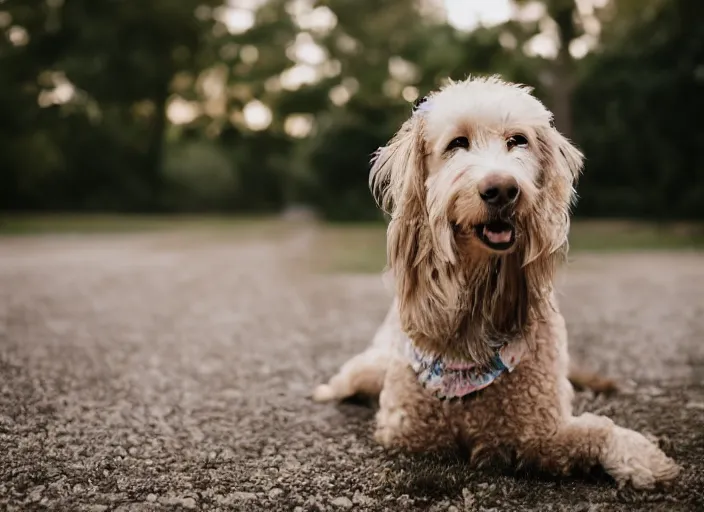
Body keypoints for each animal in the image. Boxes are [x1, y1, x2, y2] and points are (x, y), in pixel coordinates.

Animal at [312, 75, 676, 488]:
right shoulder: (407, 428)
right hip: (371, 365)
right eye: (457, 143)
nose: (502, 188)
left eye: (518, 140)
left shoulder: (539, 429)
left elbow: (596, 430)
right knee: (350, 379)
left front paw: (642, 456)